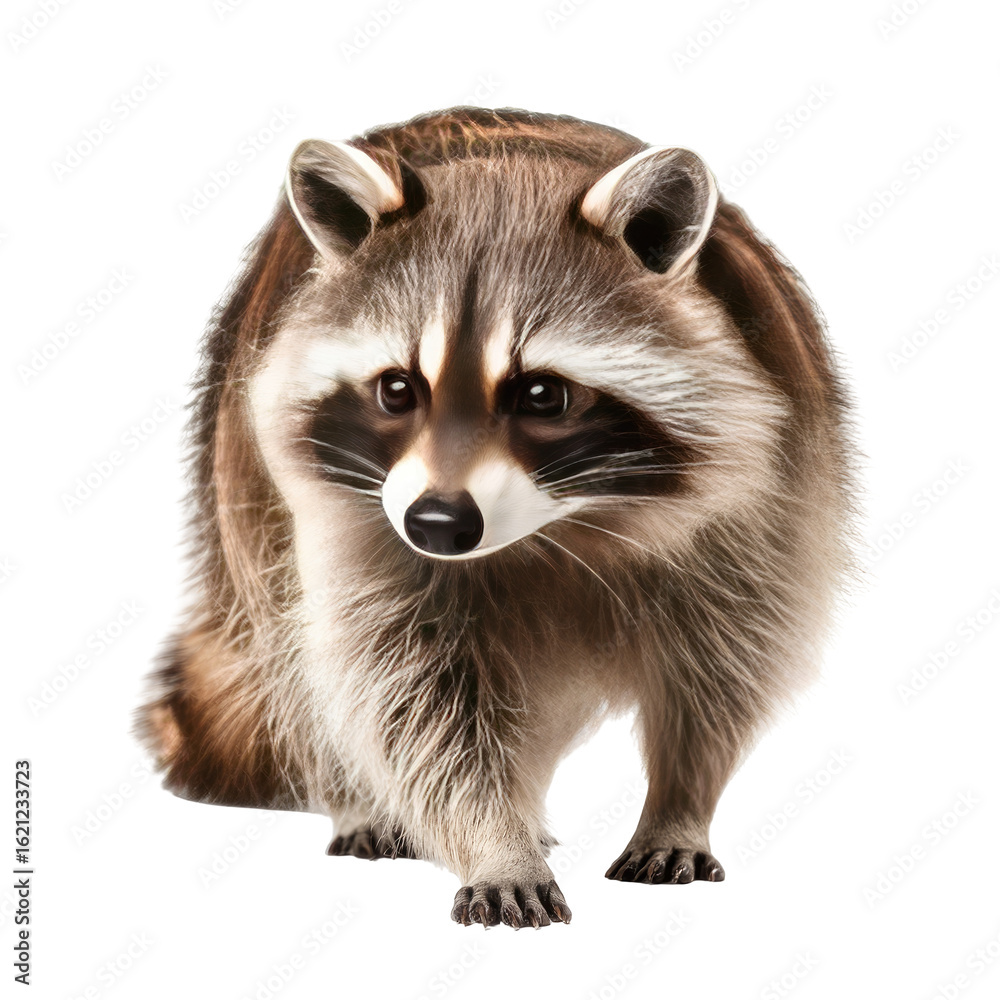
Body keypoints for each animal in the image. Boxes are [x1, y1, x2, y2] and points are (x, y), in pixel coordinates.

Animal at [137, 107, 853, 928]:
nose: (438, 526)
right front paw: (493, 842)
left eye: (542, 395)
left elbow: (725, 668)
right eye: (396, 390)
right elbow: (407, 695)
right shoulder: (356, 520)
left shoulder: (770, 499)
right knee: (293, 657)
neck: (561, 526)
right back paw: (364, 801)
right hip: (244, 496)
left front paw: (680, 802)